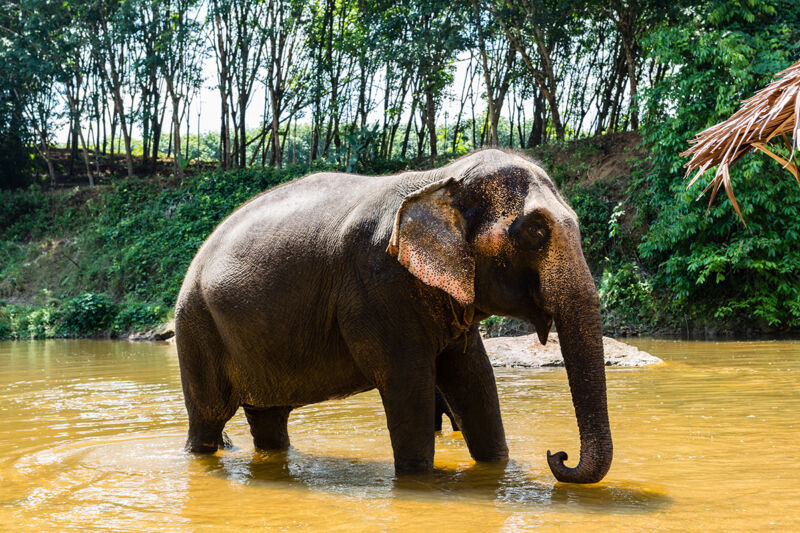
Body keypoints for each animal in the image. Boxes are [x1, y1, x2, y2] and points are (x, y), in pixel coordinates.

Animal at [174, 148, 612, 484]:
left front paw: (494, 468)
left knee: (269, 420)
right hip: (196, 326)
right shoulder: (376, 283)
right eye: (535, 231)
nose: (557, 455)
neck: (440, 180)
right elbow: (408, 380)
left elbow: (474, 377)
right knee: (208, 418)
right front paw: (418, 480)